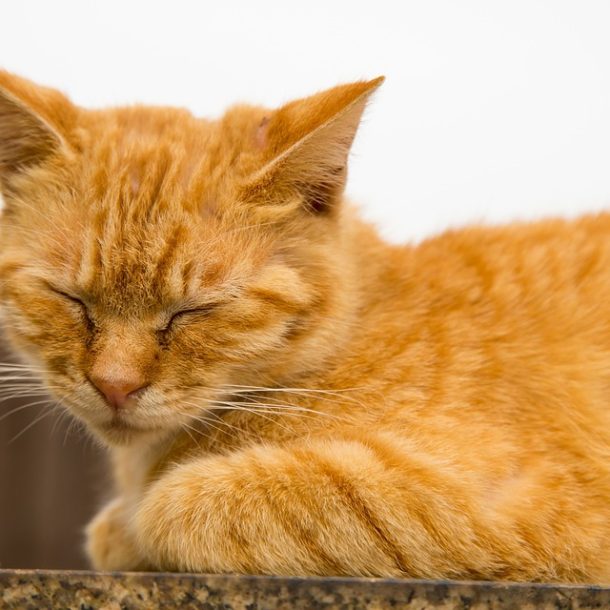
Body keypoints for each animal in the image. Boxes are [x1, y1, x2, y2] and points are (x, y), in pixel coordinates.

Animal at [1, 69, 608, 580]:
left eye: (192, 309)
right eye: (70, 298)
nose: (115, 386)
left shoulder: (514, 501)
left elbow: (176, 506)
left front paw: (132, 527)